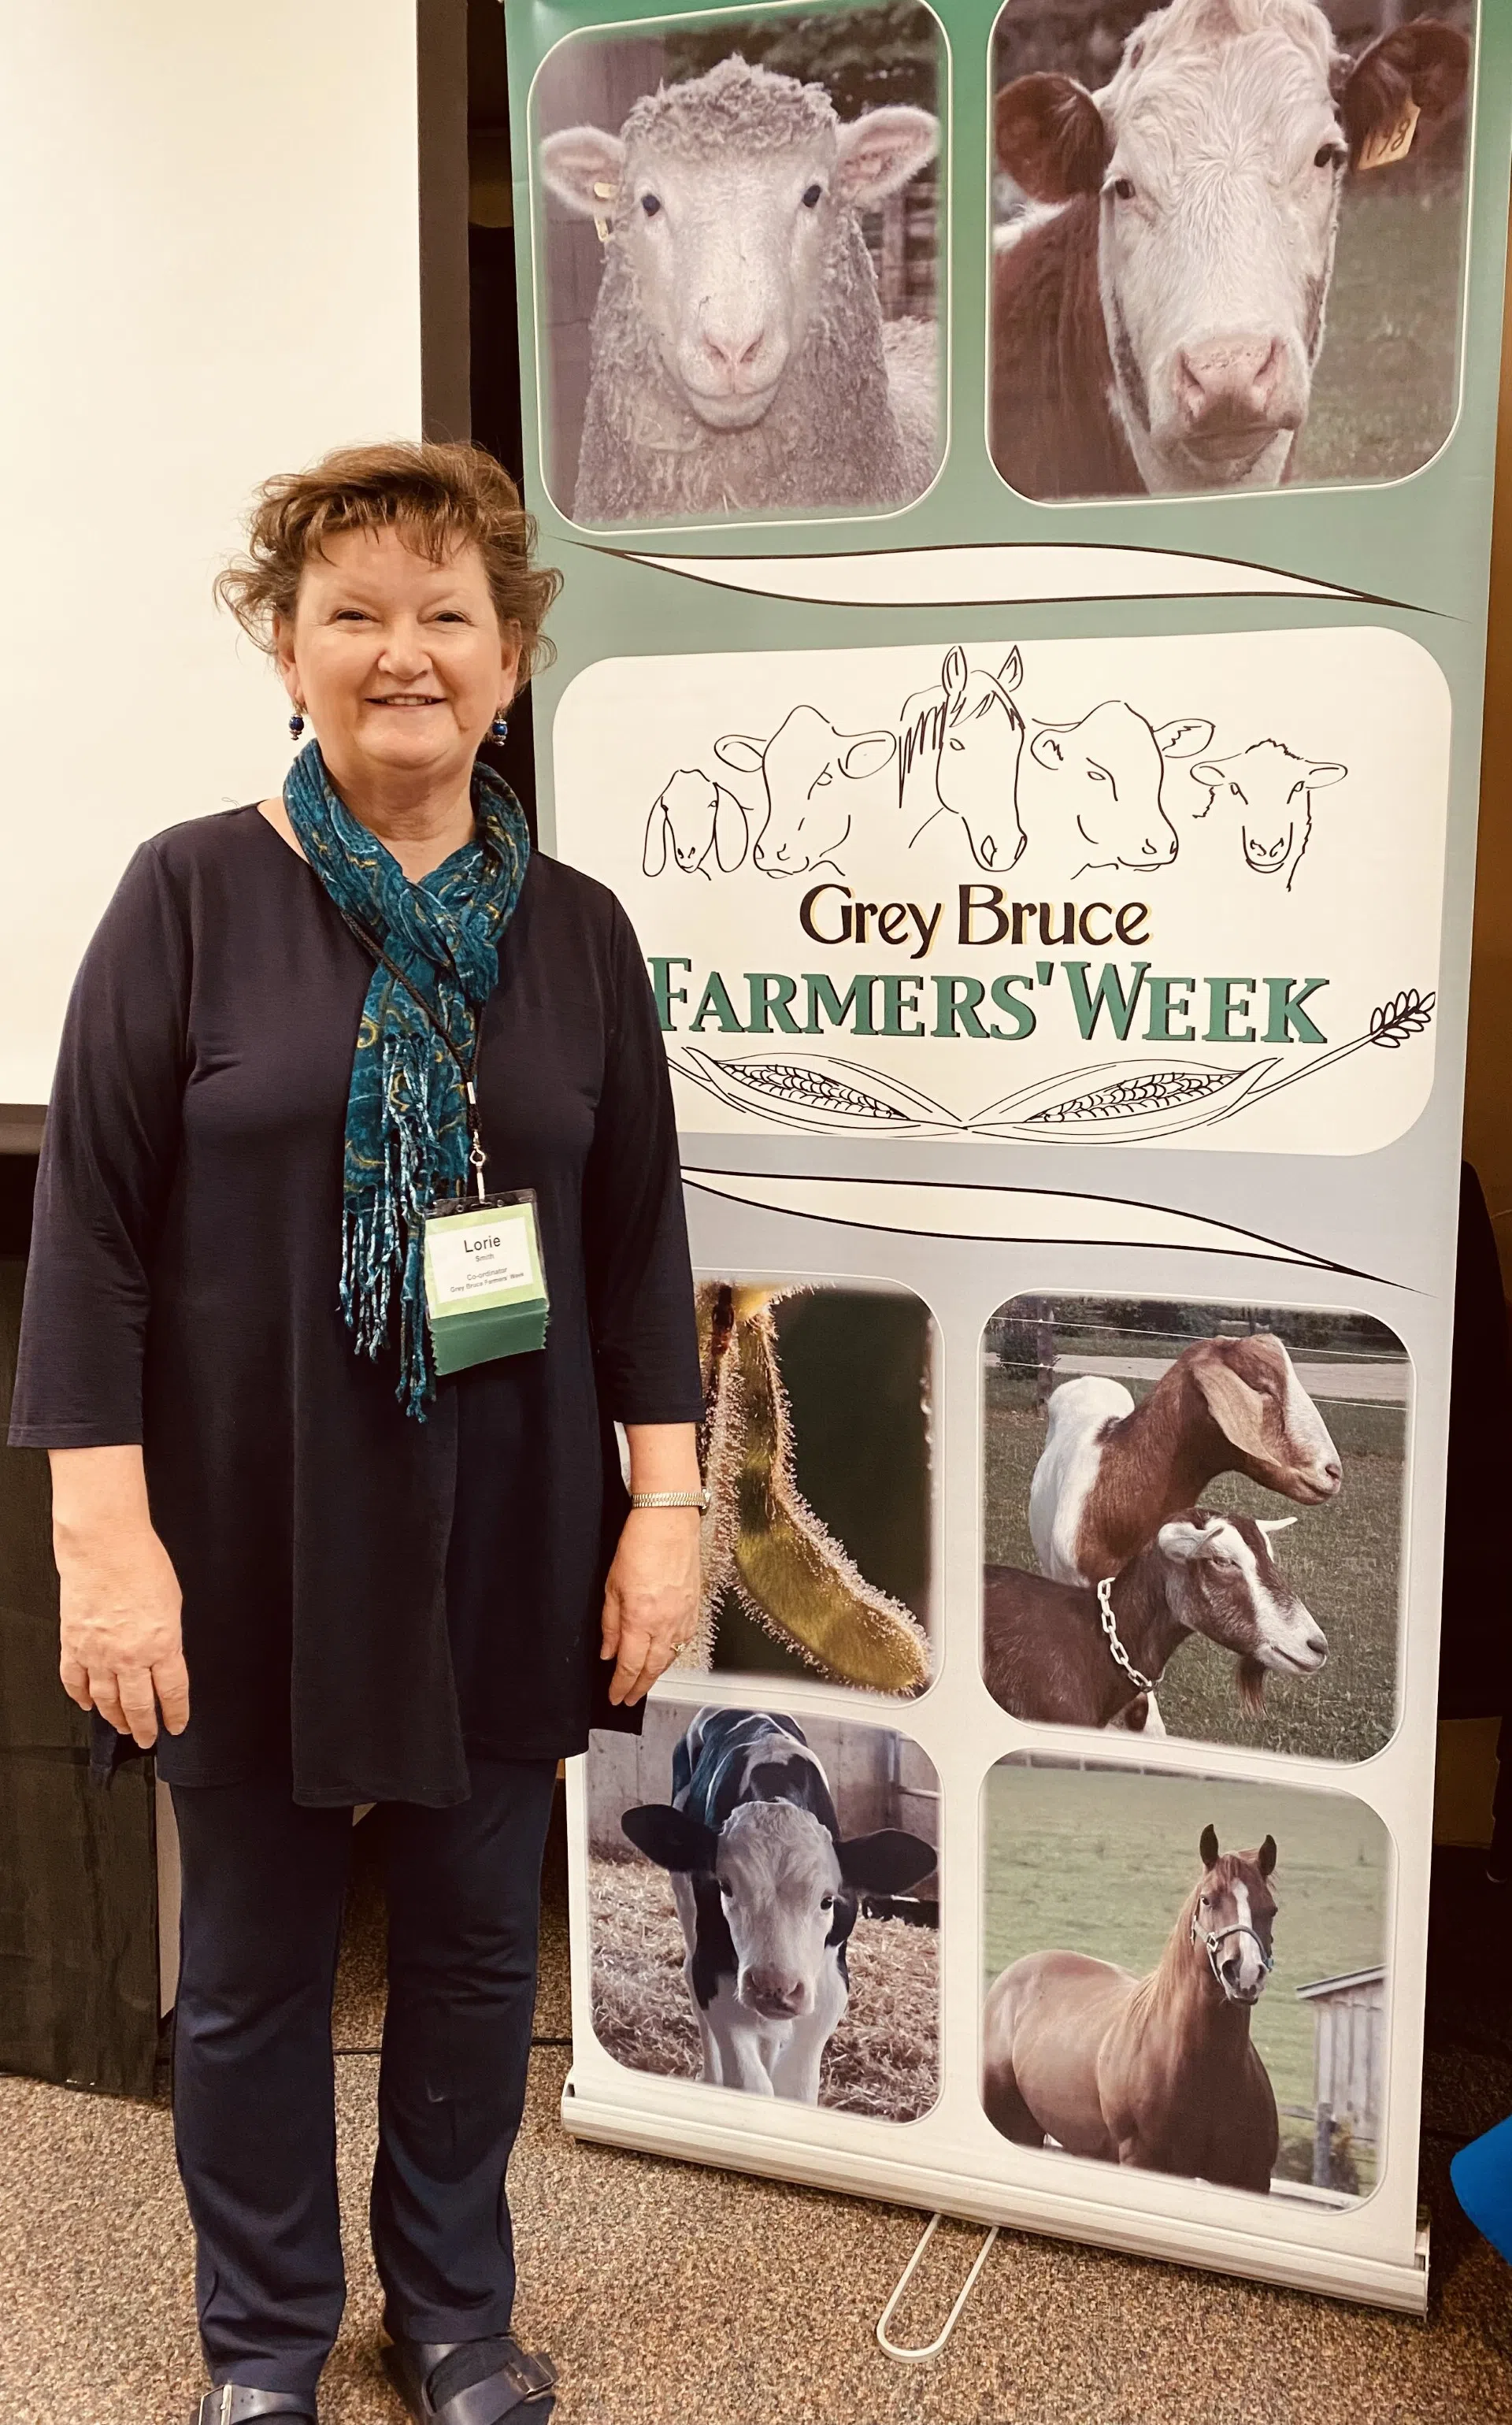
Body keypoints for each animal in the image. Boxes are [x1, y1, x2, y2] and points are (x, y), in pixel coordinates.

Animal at [988, 1823, 1279, 2201]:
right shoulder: (1142, 2161)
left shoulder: (1252, 2179)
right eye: (1207, 1899)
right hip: (1013, 2126)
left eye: (1271, 1909)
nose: (1244, 1973)